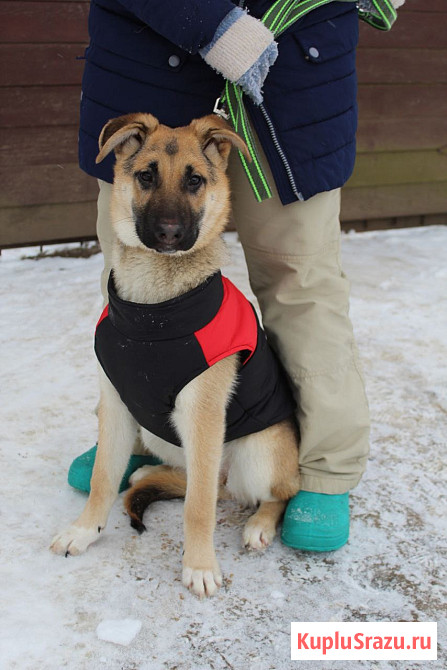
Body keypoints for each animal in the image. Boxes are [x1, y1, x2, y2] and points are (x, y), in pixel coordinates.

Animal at [51, 113, 300, 597]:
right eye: (146, 176)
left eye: (195, 181)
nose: (168, 232)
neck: (152, 316)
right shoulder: (116, 405)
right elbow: (103, 478)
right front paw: (84, 531)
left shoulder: (201, 417)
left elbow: (197, 507)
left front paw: (199, 565)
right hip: (158, 435)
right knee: (197, 483)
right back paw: (146, 475)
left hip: (259, 451)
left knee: (272, 493)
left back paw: (260, 524)